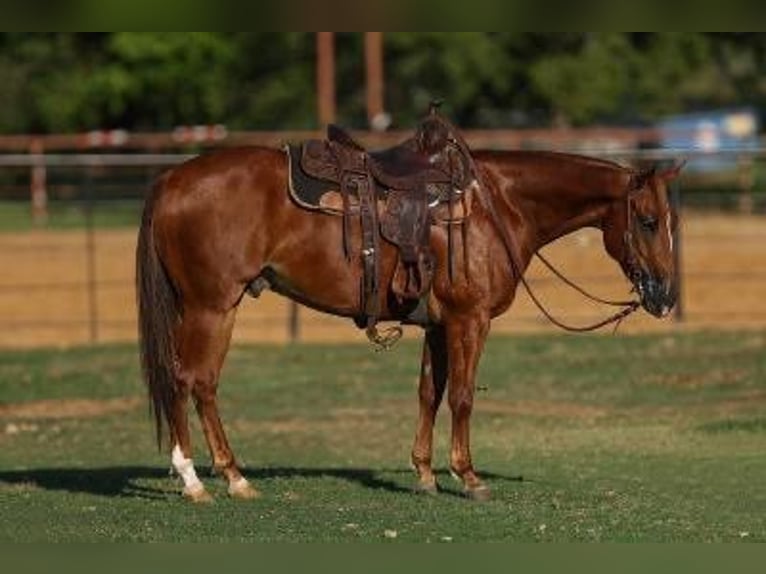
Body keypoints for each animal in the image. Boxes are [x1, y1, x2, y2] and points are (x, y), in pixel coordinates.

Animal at [136, 145, 684, 504]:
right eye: (649, 221)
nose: (665, 296)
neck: (496, 206)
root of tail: (171, 179)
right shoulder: (469, 320)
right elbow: (462, 395)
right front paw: (468, 477)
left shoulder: (438, 326)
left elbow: (430, 393)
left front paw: (424, 474)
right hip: (211, 306)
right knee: (190, 380)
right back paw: (200, 481)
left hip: (212, 308)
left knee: (200, 384)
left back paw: (227, 477)